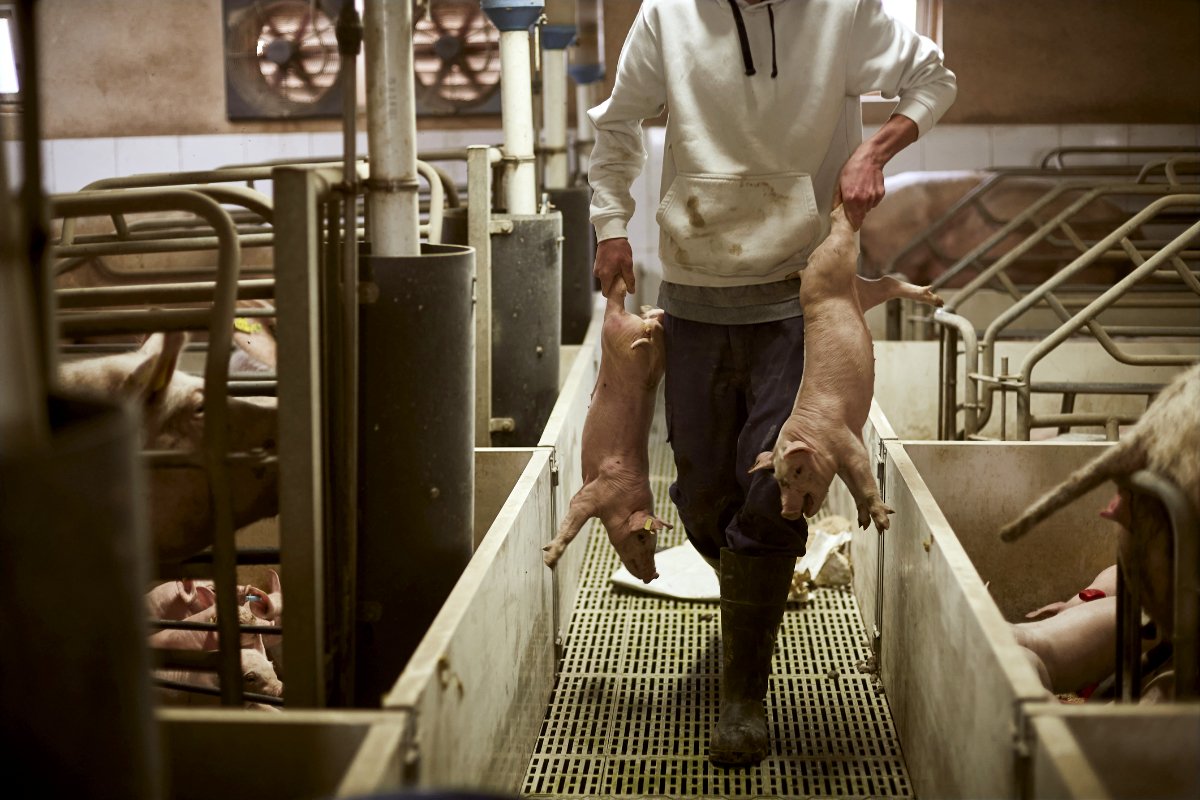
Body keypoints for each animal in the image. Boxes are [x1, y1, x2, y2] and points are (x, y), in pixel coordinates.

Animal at [547, 280, 676, 582]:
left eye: (653, 542)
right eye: (642, 537)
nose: (654, 575)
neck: (624, 497)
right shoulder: (593, 494)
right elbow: (572, 522)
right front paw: (548, 559)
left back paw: (651, 315)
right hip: (620, 337)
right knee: (637, 321)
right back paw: (650, 324)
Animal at [748, 206, 945, 527]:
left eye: (798, 471)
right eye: (778, 479)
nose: (787, 512)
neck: (817, 437)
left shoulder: (849, 443)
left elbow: (865, 479)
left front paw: (883, 522)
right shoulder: (839, 463)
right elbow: (853, 488)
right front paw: (863, 521)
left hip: (834, 258)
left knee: (838, 231)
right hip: (862, 293)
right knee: (886, 282)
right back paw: (935, 297)